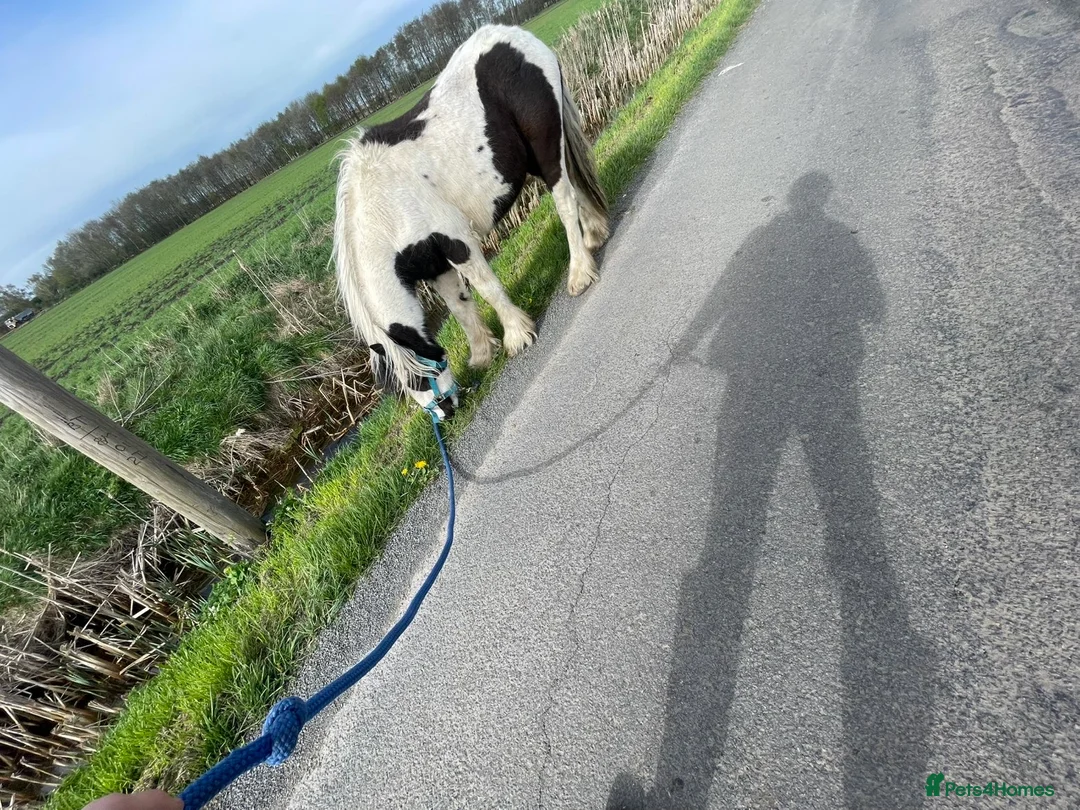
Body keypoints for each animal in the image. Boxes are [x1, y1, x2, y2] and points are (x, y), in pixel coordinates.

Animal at [331, 24, 609, 420]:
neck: (386, 208)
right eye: (405, 388)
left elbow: (486, 288)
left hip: (545, 147)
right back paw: (596, 235)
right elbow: (460, 306)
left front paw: (517, 336)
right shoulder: (433, 264)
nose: (446, 412)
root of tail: (515, 37)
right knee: (575, 182)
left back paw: (579, 273)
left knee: (566, 202)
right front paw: (482, 354)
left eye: (419, 376)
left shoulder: (456, 241)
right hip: (538, 156)